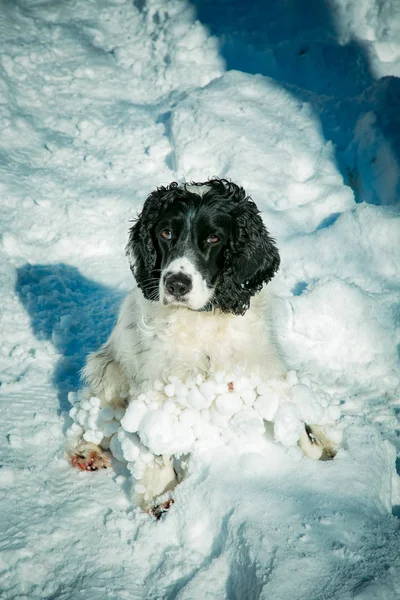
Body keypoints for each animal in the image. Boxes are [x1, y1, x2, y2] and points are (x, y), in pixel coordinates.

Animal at [70, 179, 332, 510]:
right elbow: (155, 442)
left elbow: (296, 417)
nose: (176, 284)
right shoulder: (158, 387)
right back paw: (85, 451)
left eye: (213, 238)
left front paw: (321, 455)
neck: (202, 319)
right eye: (166, 233)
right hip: (109, 370)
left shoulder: (261, 369)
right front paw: (160, 497)